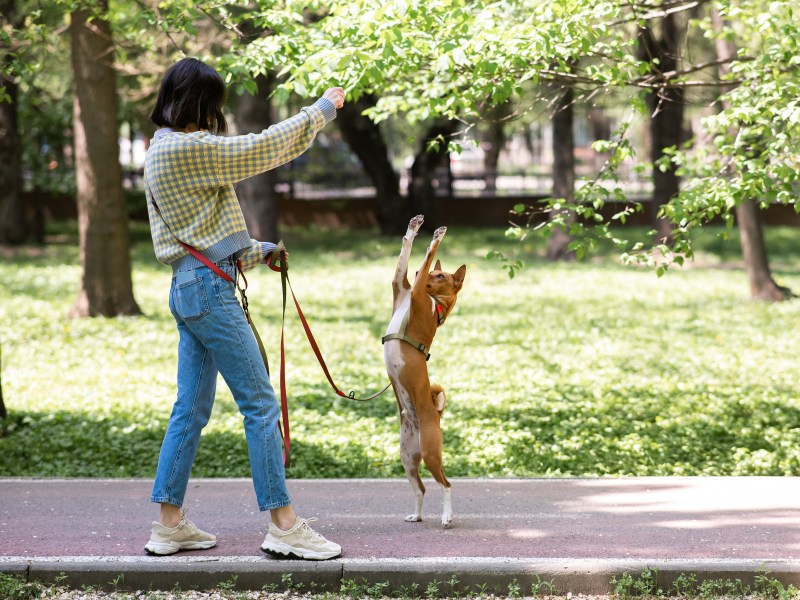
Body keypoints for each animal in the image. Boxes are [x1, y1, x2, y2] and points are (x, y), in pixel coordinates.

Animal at [382, 214, 466, 524]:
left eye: (440, 276)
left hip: (430, 453)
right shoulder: (401, 285)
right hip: (408, 459)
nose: (420, 272)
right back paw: (417, 516)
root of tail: (435, 415)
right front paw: (414, 226)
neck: (434, 304)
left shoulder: (415, 291)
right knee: (421, 489)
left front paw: (437, 236)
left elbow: (429, 252)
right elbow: (406, 252)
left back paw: (447, 517)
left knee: (446, 484)